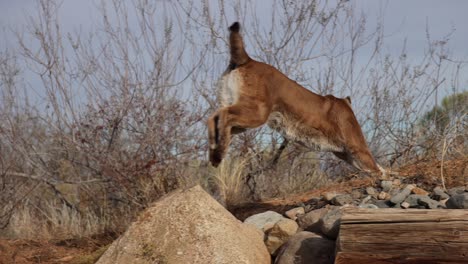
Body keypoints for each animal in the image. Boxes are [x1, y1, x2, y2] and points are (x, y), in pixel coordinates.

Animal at [208, 22, 384, 175]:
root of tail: (247, 60)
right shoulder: (357, 148)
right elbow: (377, 168)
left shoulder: (345, 153)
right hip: (257, 113)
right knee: (223, 115)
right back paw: (217, 155)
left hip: (240, 116)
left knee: (215, 117)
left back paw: (214, 151)